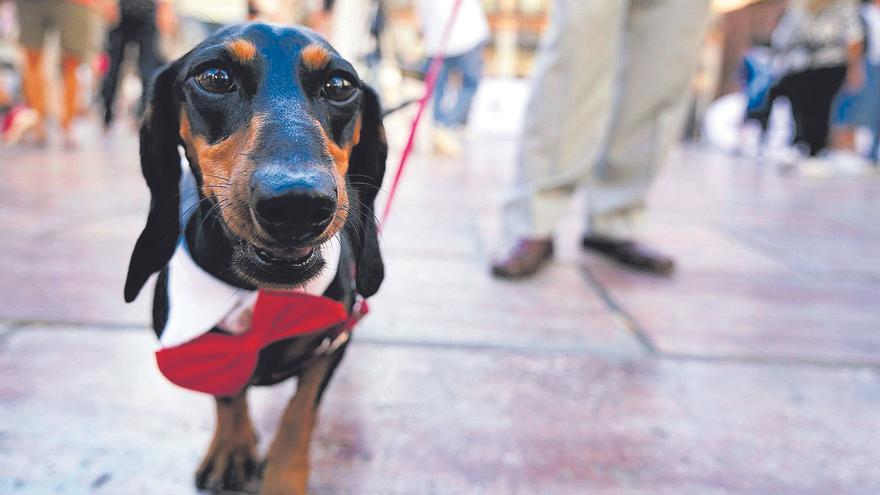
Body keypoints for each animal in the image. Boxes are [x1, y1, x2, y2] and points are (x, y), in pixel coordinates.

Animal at [123, 24, 384, 495]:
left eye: (340, 85)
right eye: (214, 77)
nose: (298, 204)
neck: (256, 294)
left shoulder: (331, 345)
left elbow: (300, 413)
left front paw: (282, 478)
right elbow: (229, 395)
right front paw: (232, 450)